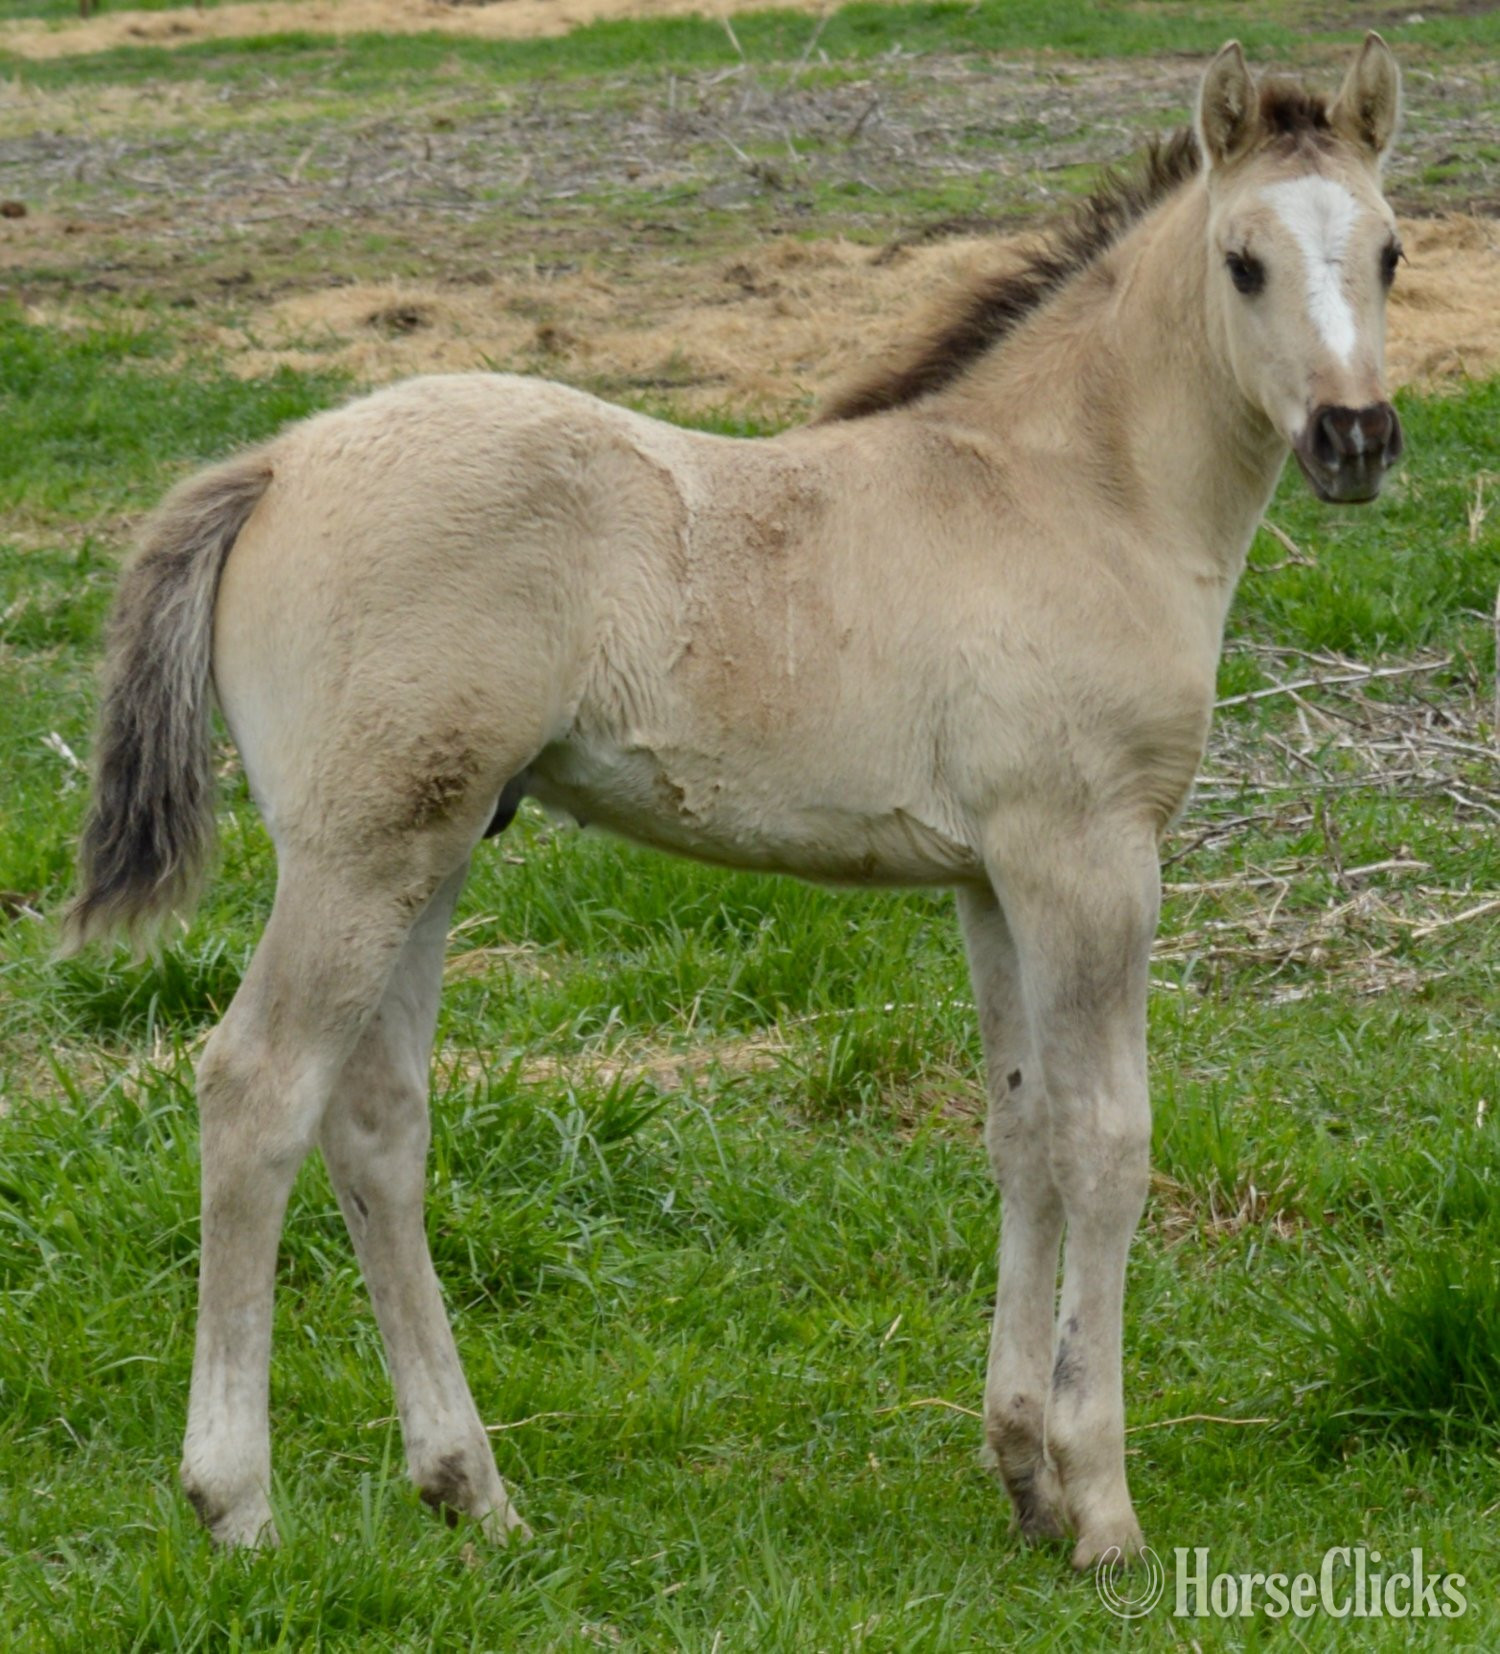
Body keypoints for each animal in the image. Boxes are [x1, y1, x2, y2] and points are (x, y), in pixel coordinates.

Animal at [63, 35, 1405, 1570]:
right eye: (1243, 262)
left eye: (1392, 250)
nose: (1358, 438)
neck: (1069, 494)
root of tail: (280, 461)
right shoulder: (1091, 857)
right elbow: (1107, 1143)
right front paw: (1104, 1508)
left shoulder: (992, 877)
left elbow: (1022, 1137)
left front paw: (1024, 1473)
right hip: (357, 854)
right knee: (257, 1090)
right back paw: (237, 1501)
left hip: (432, 846)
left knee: (377, 1121)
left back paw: (473, 1488)